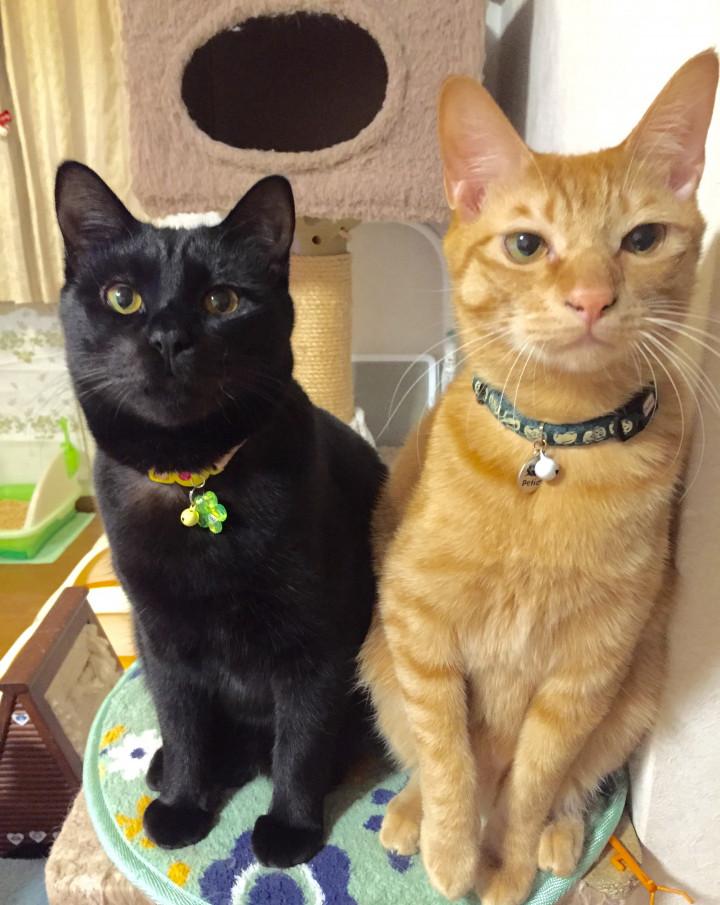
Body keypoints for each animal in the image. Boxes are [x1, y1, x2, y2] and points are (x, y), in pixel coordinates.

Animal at [55, 164, 387, 866]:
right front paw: (183, 804)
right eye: (122, 298)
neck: (194, 483)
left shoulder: (316, 642)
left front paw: (290, 829)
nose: (167, 337)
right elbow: (183, 726)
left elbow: (300, 742)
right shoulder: (163, 640)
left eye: (222, 302)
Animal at [359, 50, 718, 904]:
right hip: (379, 666)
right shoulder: (419, 626)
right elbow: (448, 753)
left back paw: (558, 838)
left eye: (642, 239)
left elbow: (532, 778)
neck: (558, 447)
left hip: (633, 696)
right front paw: (451, 850)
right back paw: (409, 816)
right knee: (418, 752)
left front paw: (508, 864)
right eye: (526, 244)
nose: (590, 298)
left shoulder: (586, 670)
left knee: (573, 785)